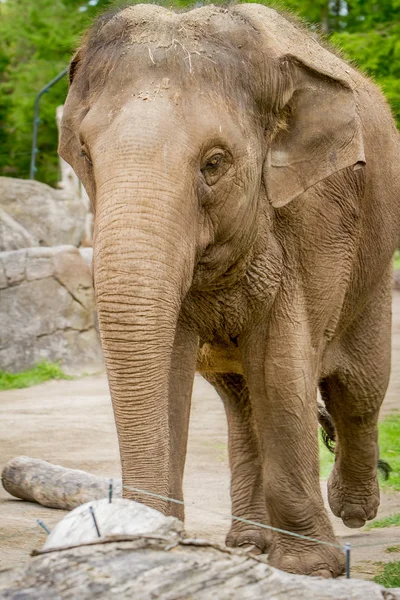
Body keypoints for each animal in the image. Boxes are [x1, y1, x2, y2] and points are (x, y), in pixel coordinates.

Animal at [58, 2, 400, 580]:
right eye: (83, 152)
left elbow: (281, 369)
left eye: (214, 163)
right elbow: (169, 365)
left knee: (358, 388)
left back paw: (353, 508)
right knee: (241, 401)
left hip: (374, 270)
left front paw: (311, 569)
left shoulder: (316, 218)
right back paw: (249, 543)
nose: (135, 532)